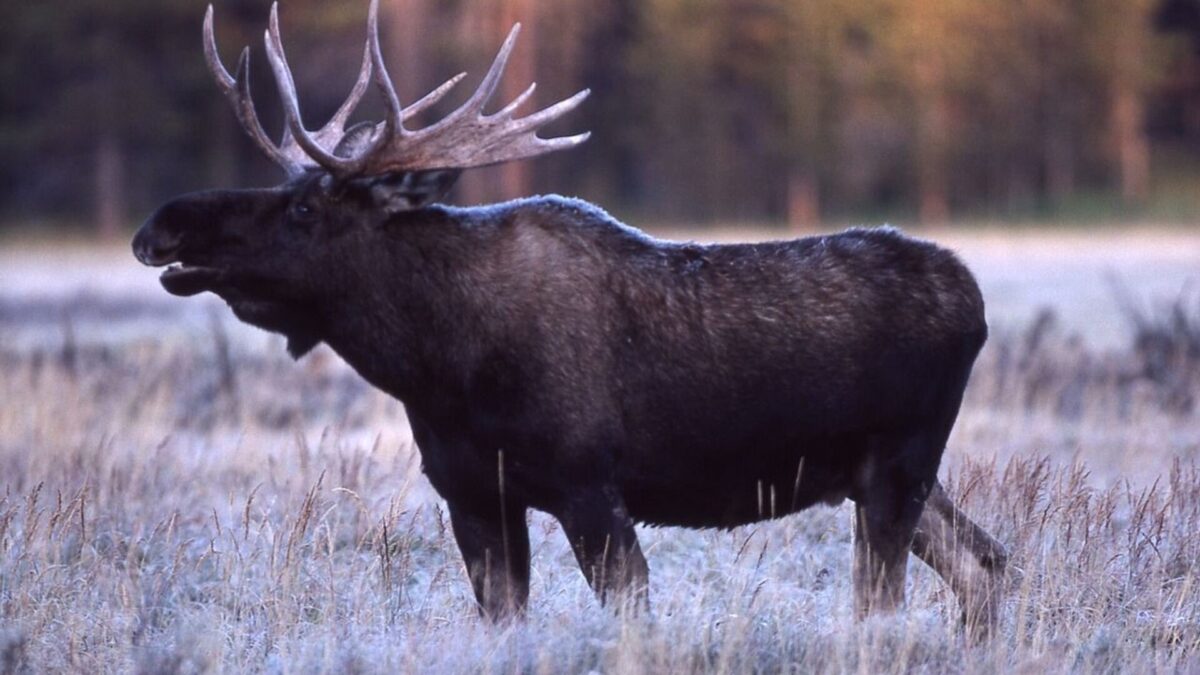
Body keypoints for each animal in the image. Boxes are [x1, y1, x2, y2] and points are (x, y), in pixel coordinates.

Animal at [132, 0, 1008, 636]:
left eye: (306, 207)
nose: (162, 226)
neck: (437, 363)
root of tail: (975, 300)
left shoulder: (590, 486)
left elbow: (631, 616)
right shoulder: (474, 496)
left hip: (897, 466)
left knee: (893, 600)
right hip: (879, 476)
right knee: (988, 563)